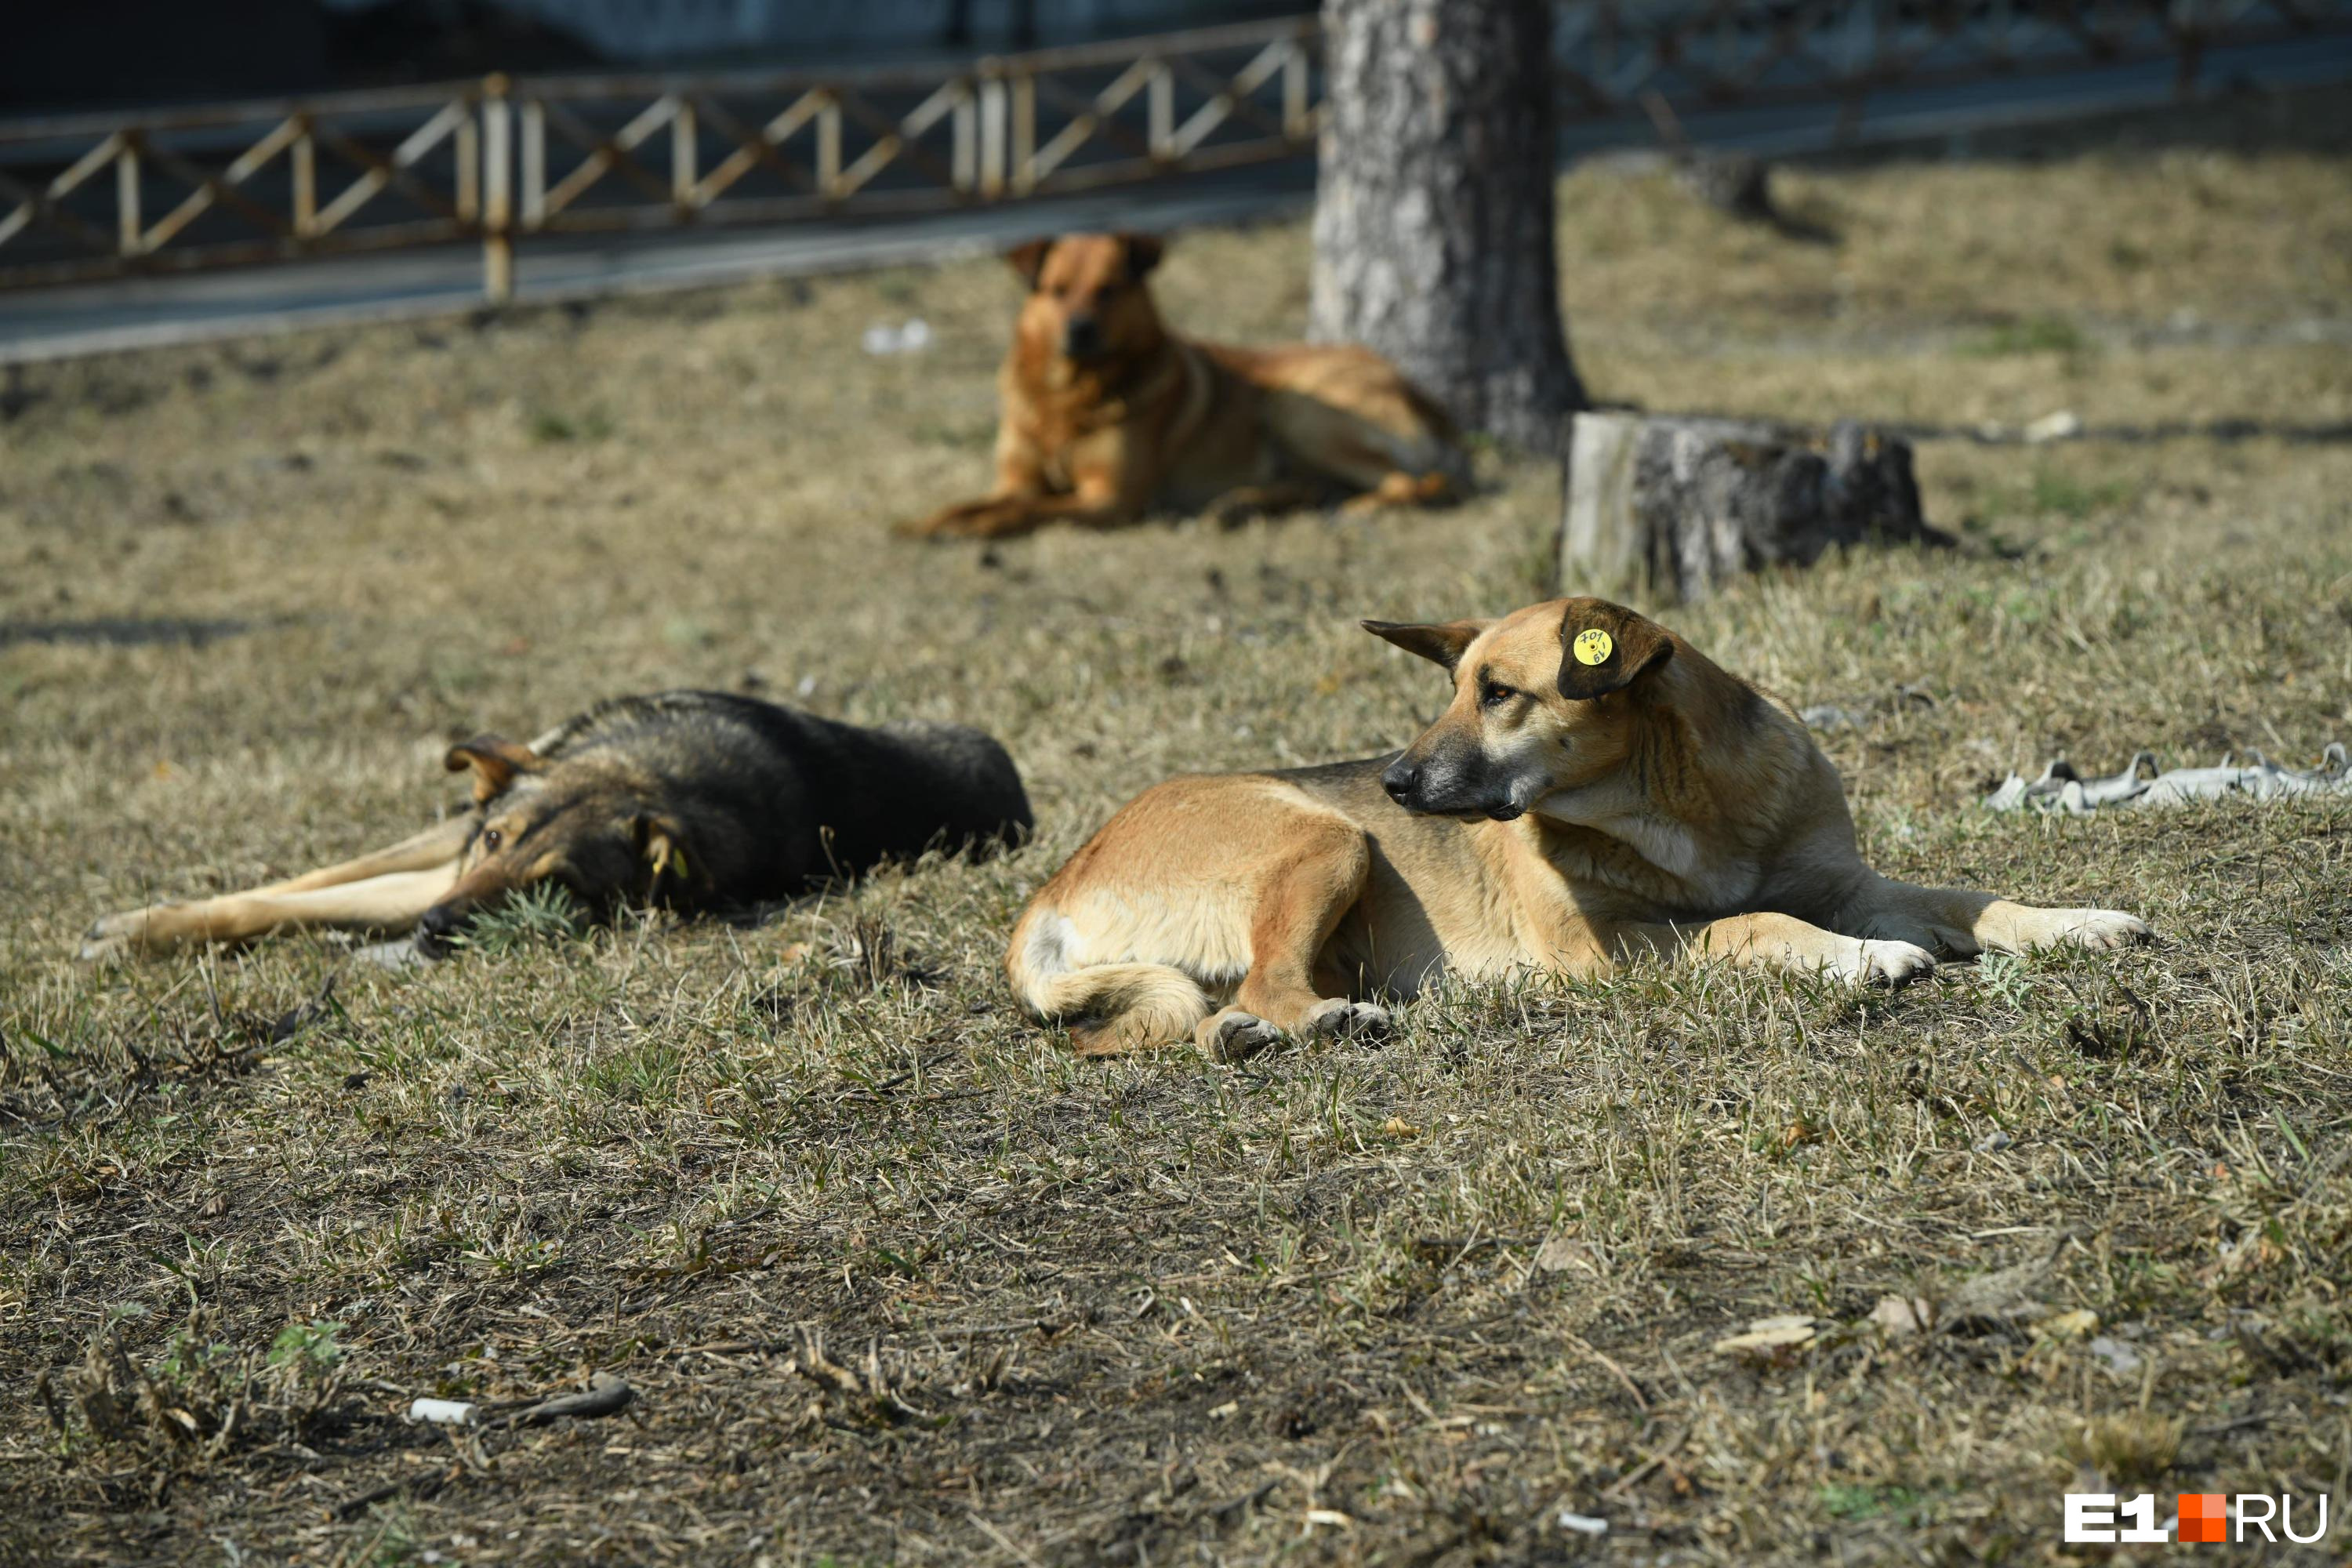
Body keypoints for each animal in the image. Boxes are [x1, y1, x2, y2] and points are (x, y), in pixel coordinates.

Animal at [82, 691, 1030, 964]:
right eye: (496, 842)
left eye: (556, 887)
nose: (434, 932)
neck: (655, 776)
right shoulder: (449, 844)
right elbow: (297, 884)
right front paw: (141, 920)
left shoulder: (434, 876)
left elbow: (300, 902)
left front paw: (136, 936)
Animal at [903, 231, 1468, 540]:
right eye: (1057, 291)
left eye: (1109, 290)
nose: (1078, 331)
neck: (1069, 397)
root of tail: (1420, 392)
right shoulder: (1015, 479)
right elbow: (979, 501)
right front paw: (928, 523)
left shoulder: (1110, 498)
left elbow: (1023, 511)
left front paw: (971, 530)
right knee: (1315, 485)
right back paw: (1241, 506)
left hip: (1296, 407)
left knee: (1417, 482)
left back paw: (1361, 506)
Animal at [1002, 594, 2145, 1062]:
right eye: (1454, 687)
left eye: (1498, 692)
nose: (1395, 781)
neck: (1683, 806)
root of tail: (1053, 886)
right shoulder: (1610, 948)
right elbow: (1755, 925)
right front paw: (1862, 959)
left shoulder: (1849, 880)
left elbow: (1975, 896)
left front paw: (2077, 923)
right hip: (1328, 840)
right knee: (1268, 982)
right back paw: (1324, 1023)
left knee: (1218, 1006)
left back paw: (1243, 1039)